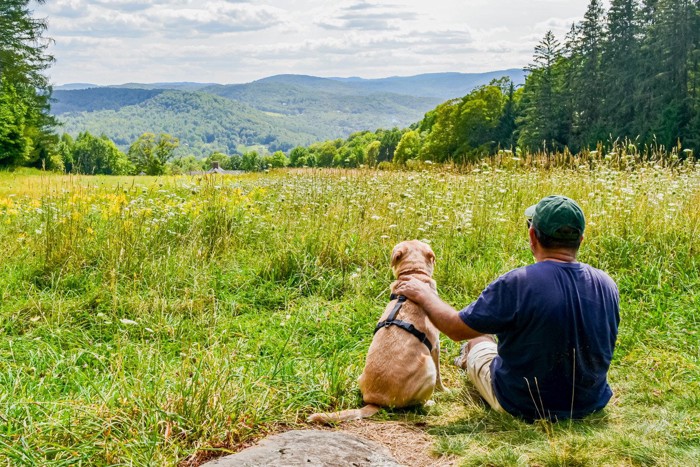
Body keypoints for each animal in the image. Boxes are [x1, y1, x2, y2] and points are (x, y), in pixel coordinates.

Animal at [308, 241, 446, 424]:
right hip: (427, 367)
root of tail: (376, 402)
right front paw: (444, 391)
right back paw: (429, 403)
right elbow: (440, 376)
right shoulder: (435, 346)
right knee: (417, 403)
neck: (413, 274)